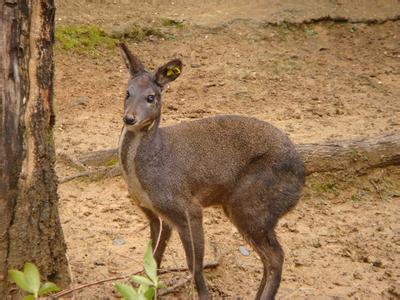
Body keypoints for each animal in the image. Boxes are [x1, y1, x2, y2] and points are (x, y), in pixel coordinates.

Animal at [117, 42, 304, 300]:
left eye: (151, 97)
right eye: (127, 92)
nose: (129, 118)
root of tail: (302, 180)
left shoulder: (188, 208)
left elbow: (194, 265)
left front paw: (204, 295)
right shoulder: (156, 215)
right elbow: (153, 261)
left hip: (251, 203)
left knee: (276, 257)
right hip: (246, 209)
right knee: (268, 258)